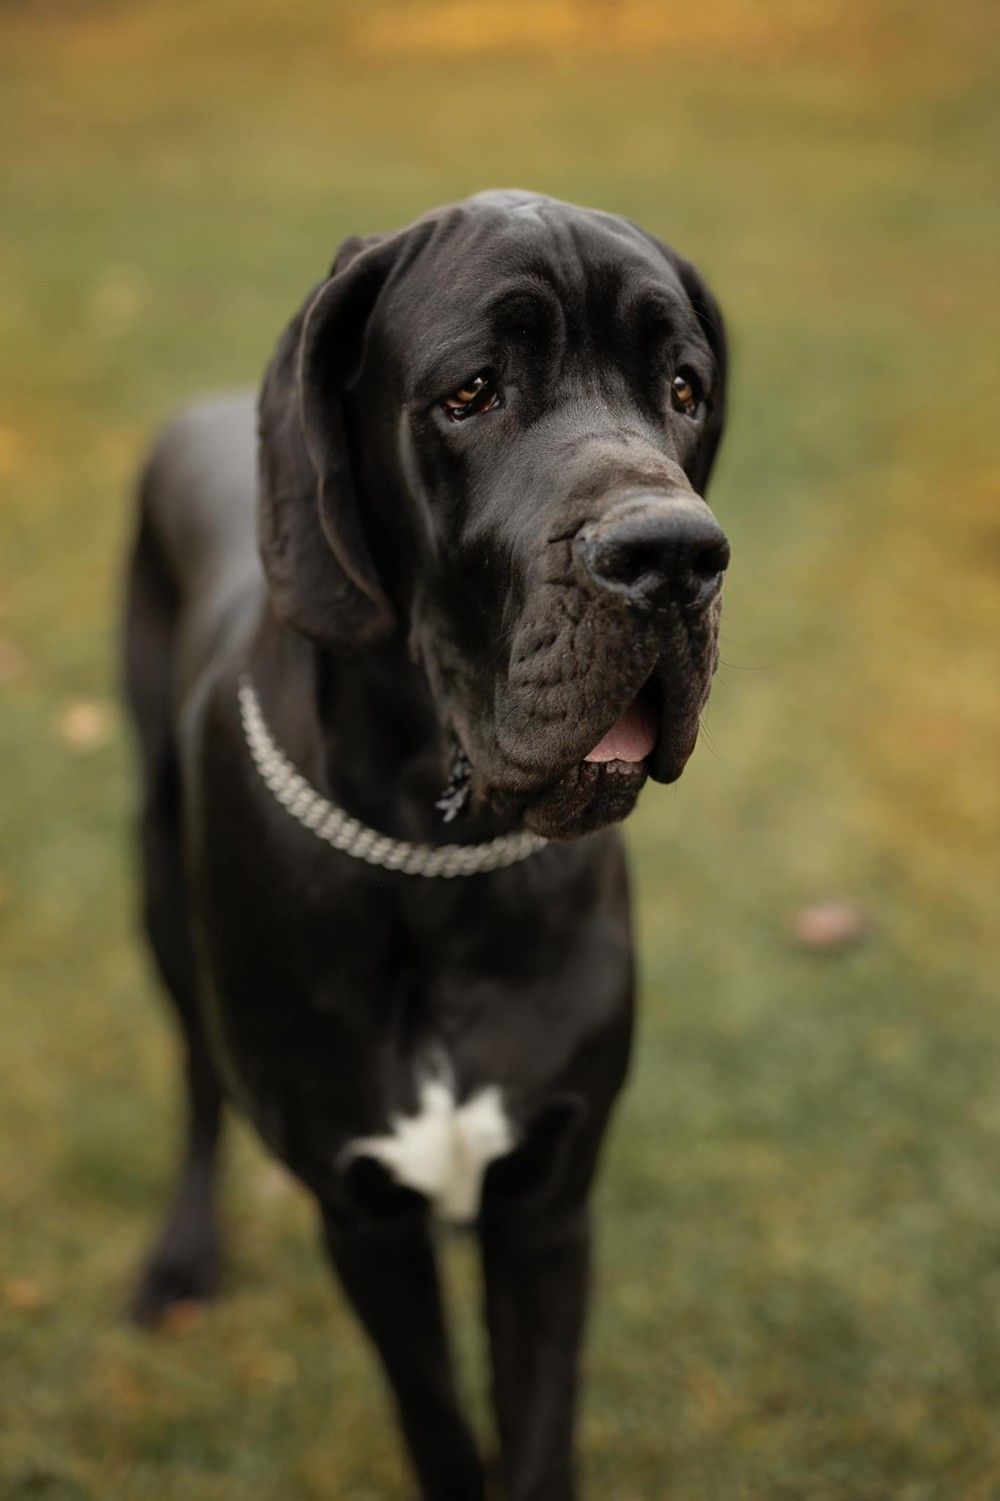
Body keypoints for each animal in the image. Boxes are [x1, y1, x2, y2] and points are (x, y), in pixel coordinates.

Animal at [123, 189, 729, 1500]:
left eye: (683, 387)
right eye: (471, 391)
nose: (674, 555)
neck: (432, 857)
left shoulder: (549, 1201)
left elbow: (535, 1438)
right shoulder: (364, 1217)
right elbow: (440, 1428)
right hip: (156, 882)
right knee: (194, 1078)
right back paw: (182, 1254)